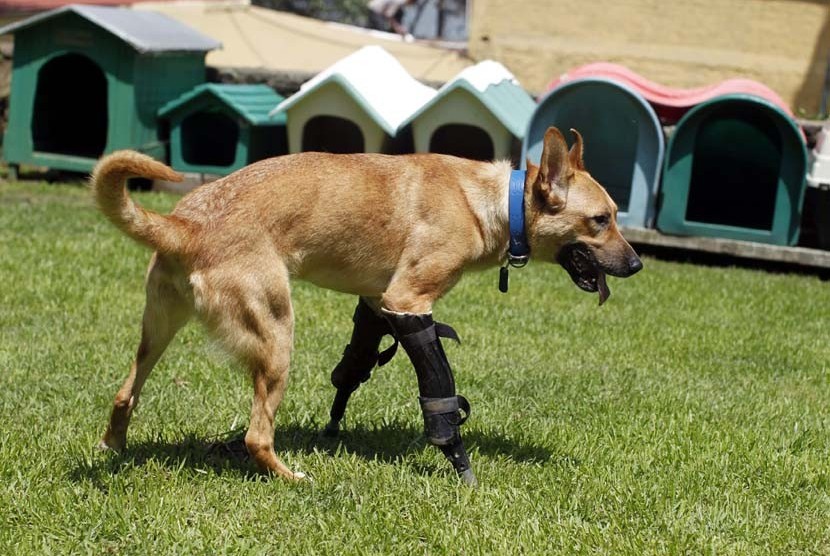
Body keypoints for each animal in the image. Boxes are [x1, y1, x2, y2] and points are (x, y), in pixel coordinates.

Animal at [91, 126, 644, 482]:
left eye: (616, 215)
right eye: (601, 220)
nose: (638, 264)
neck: (492, 202)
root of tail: (183, 225)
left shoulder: (380, 302)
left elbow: (355, 367)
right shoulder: (409, 300)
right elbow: (439, 390)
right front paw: (457, 460)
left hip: (157, 331)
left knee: (124, 395)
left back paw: (114, 449)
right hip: (277, 337)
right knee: (256, 437)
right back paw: (293, 478)